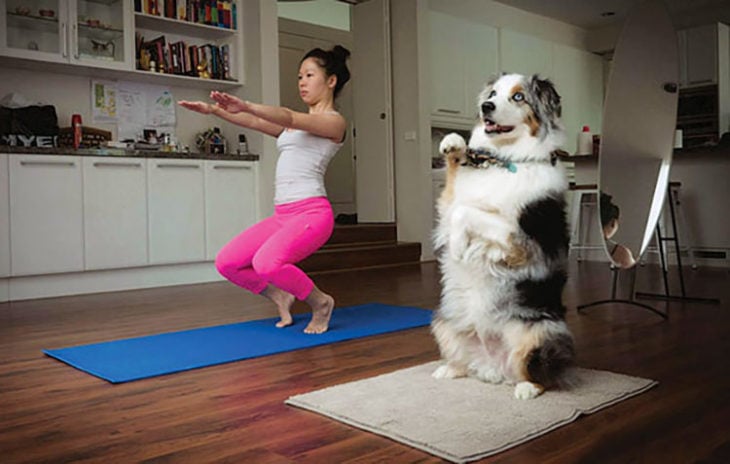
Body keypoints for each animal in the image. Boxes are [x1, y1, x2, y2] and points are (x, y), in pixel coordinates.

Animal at [430, 72, 572, 398]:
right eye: (493, 93)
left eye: (519, 97)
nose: (486, 107)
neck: (509, 159)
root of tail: (493, 365)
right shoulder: (449, 202)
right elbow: (454, 198)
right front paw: (454, 144)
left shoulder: (520, 240)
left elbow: (466, 212)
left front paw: (457, 247)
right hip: (444, 320)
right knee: (463, 362)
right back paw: (449, 369)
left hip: (541, 333)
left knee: (543, 374)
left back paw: (527, 389)